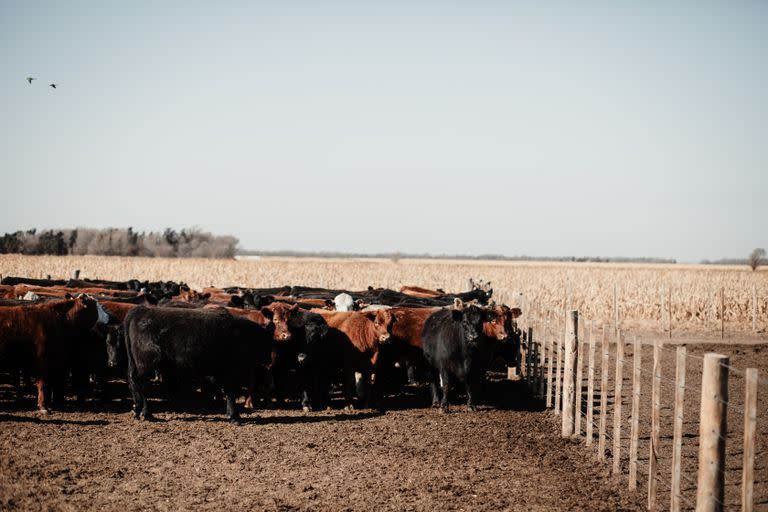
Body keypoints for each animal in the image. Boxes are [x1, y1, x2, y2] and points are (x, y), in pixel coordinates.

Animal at [123, 306, 270, 422]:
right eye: (267, 342)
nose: (269, 361)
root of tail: (141, 310)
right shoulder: (230, 372)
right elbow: (230, 392)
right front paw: (234, 416)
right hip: (145, 364)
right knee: (141, 385)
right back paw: (146, 413)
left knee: (133, 383)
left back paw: (137, 410)